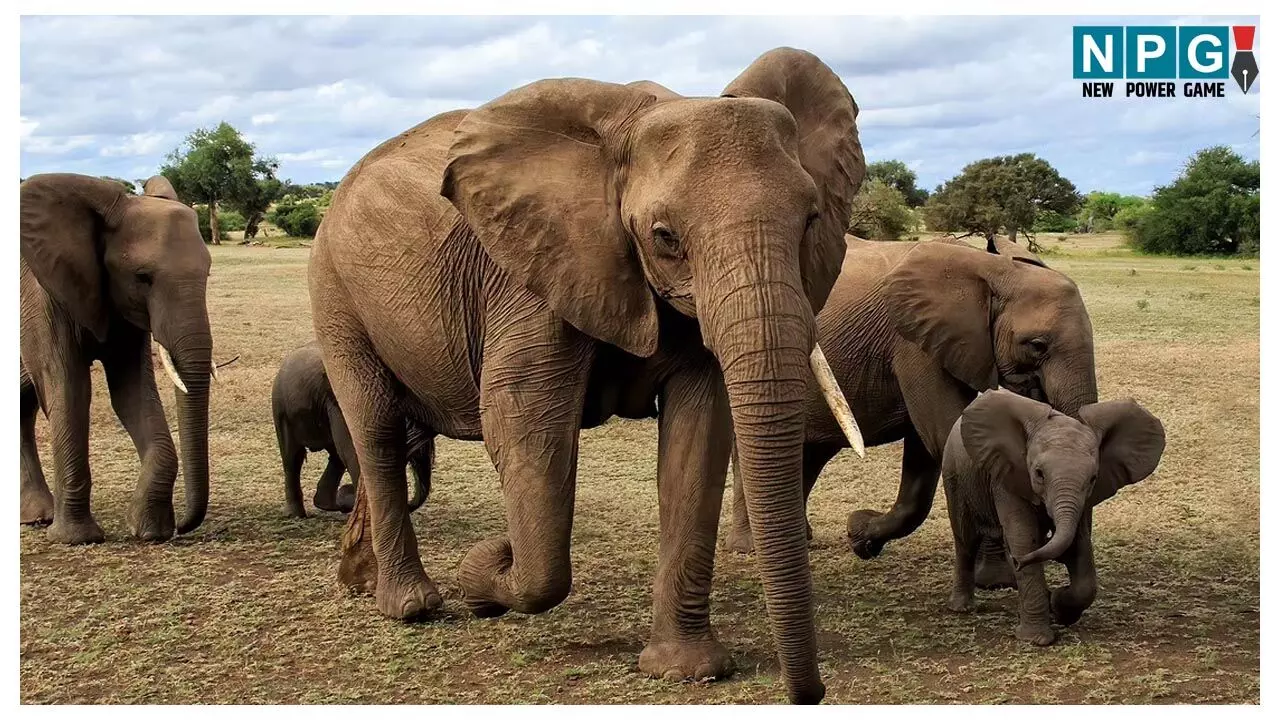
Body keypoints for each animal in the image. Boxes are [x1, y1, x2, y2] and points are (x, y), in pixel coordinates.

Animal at [19, 174, 214, 543]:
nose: (183, 526)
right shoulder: (43, 298)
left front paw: (148, 530)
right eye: (142, 277)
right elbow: (69, 390)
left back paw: (36, 516)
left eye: (208, 273)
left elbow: (132, 393)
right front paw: (77, 538)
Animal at [273, 342, 432, 518]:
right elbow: (352, 448)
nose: (346, 498)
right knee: (293, 457)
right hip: (281, 409)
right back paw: (297, 514)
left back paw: (328, 505)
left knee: (335, 456)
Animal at [308, 48, 866, 703]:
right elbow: (523, 422)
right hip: (334, 292)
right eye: (665, 238)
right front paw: (487, 569)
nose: (811, 693)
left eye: (811, 221)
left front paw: (685, 670)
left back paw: (359, 582)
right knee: (377, 430)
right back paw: (411, 606)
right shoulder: (532, 273)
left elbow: (699, 436)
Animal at [724, 236, 1099, 589]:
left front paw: (860, 536)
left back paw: (799, 539)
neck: (992, 269)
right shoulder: (912, 345)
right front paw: (998, 581)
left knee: (810, 453)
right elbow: (946, 436)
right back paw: (750, 546)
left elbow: (929, 452)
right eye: (1037, 345)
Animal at [942, 389, 1166, 645]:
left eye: (1093, 478)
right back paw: (963, 608)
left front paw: (1058, 607)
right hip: (954, 475)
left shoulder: (1083, 499)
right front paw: (1037, 639)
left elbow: (1079, 546)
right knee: (966, 541)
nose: (1017, 561)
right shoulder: (1007, 477)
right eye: (1039, 474)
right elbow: (1023, 537)